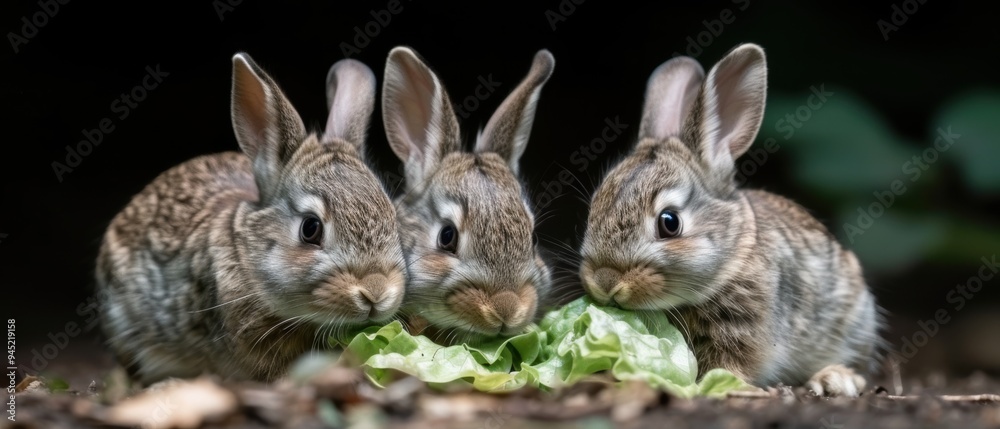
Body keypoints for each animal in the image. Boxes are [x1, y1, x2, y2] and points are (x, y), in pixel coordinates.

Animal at [578, 44, 884, 396]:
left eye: (670, 222)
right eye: (594, 206)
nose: (605, 282)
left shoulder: (743, 331)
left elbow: (733, 363)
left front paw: (721, 384)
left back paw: (835, 378)